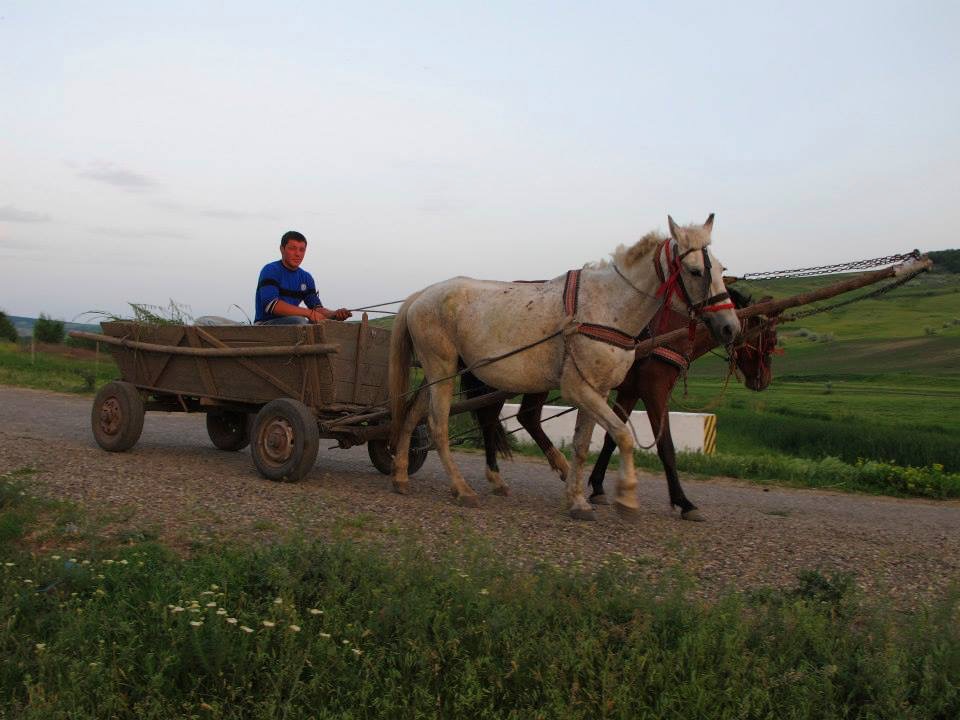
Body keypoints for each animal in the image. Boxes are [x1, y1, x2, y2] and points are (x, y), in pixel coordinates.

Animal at [386, 214, 740, 516]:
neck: (607, 308)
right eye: (694, 271)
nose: (730, 327)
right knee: (438, 425)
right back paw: (461, 488)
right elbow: (623, 435)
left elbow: (583, 445)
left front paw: (578, 499)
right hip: (443, 368)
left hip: (440, 373)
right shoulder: (580, 389)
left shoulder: (599, 390)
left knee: (414, 413)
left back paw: (401, 475)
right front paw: (626, 496)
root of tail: (422, 294)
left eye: (721, 268)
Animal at [464, 286, 780, 516]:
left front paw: (598, 487)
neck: (674, 329)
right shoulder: (654, 390)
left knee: (511, 418)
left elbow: (610, 439)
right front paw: (683, 501)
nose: (763, 380)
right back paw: (509, 475)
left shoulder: (631, 391)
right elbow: (665, 446)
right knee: (501, 418)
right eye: (770, 338)